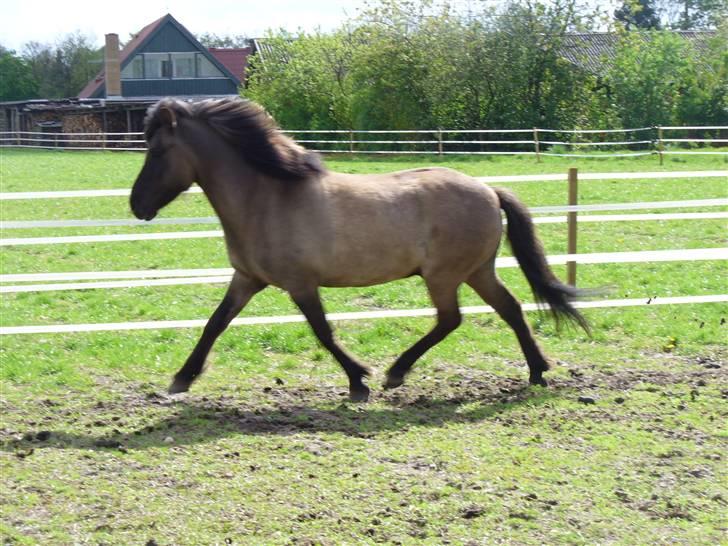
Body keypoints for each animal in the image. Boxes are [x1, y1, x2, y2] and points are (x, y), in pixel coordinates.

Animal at [128, 98, 588, 402]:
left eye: (159, 150)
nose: (137, 206)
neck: (266, 197)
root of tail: (489, 191)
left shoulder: (300, 284)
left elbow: (324, 332)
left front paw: (359, 380)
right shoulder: (247, 279)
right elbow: (214, 325)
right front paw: (181, 378)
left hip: (445, 275)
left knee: (451, 319)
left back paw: (396, 373)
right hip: (477, 271)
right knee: (509, 308)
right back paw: (537, 371)